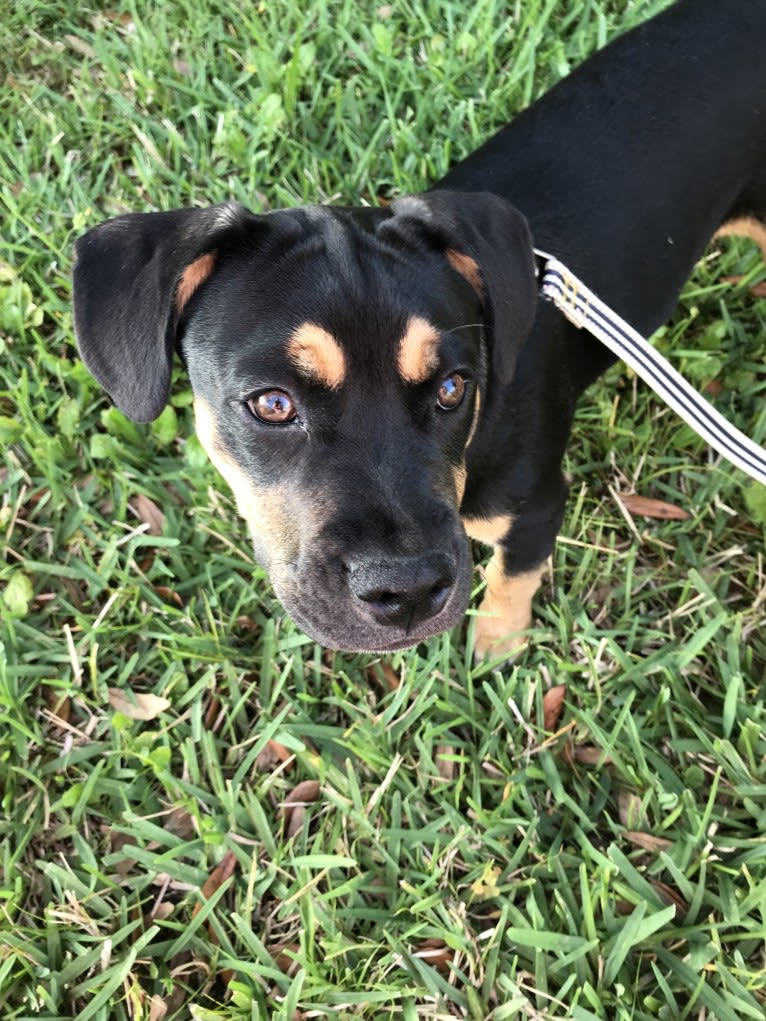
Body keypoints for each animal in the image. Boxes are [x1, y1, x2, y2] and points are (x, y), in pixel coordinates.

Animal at [72, 0, 766, 653]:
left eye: (455, 388)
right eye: (271, 404)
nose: (405, 594)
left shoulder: (536, 508)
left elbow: (514, 577)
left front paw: (497, 644)